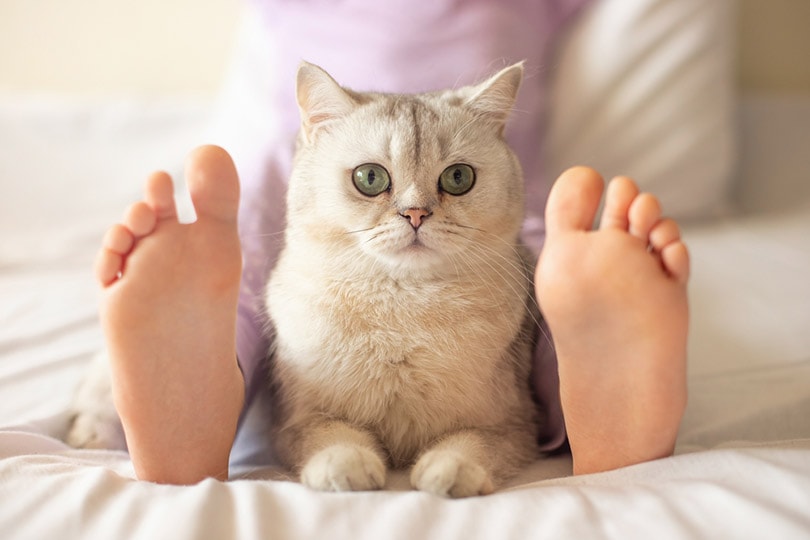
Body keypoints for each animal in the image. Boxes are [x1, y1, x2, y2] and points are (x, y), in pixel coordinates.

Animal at [266, 61, 544, 496]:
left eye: (459, 178)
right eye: (370, 178)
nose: (416, 214)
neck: (403, 306)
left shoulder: (515, 426)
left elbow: (470, 442)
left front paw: (449, 471)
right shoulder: (293, 421)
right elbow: (332, 434)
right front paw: (346, 466)